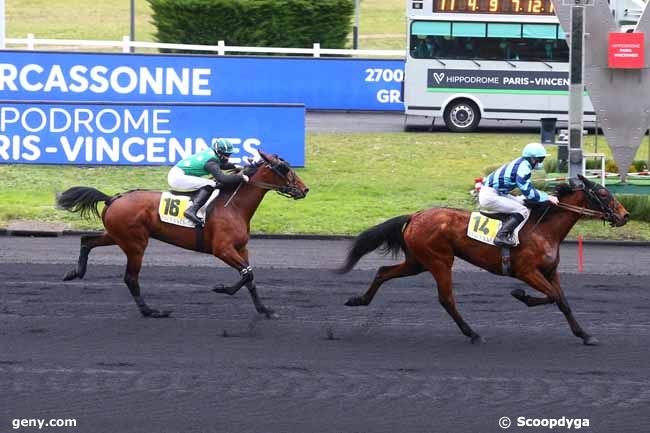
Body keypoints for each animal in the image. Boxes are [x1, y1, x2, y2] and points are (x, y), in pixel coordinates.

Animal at [57, 151, 306, 318]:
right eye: (285, 169)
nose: (305, 189)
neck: (233, 205)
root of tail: (112, 198)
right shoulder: (222, 249)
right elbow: (247, 273)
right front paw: (222, 289)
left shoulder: (241, 248)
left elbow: (250, 277)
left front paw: (264, 310)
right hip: (135, 244)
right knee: (130, 278)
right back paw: (151, 311)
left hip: (117, 235)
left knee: (87, 240)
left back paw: (75, 272)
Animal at [340, 175, 628, 344]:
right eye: (604, 194)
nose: (624, 215)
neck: (542, 228)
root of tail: (415, 215)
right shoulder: (527, 272)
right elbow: (552, 297)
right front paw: (520, 295)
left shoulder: (549, 271)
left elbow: (563, 302)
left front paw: (585, 335)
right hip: (439, 261)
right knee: (446, 299)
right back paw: (473, 333)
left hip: (417, 262)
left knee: (383, 271)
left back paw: (358, 300)